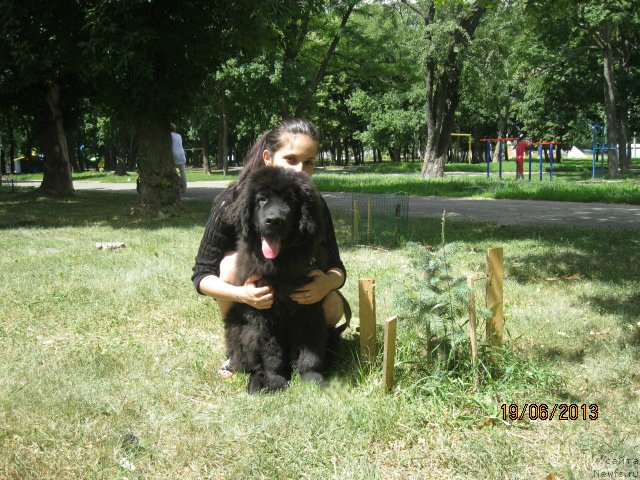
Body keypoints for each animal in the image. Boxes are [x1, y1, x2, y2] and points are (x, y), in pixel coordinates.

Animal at [222, 167, 330, 392]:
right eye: (262, 199)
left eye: (290, 201)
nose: (273, 220)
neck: (281, 263)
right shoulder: (263, 312)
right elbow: (271, 351)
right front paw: (276, 380)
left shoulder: (308, 305)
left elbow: (310, 346)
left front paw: (312, 377)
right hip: (239, 329)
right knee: (250, 363)